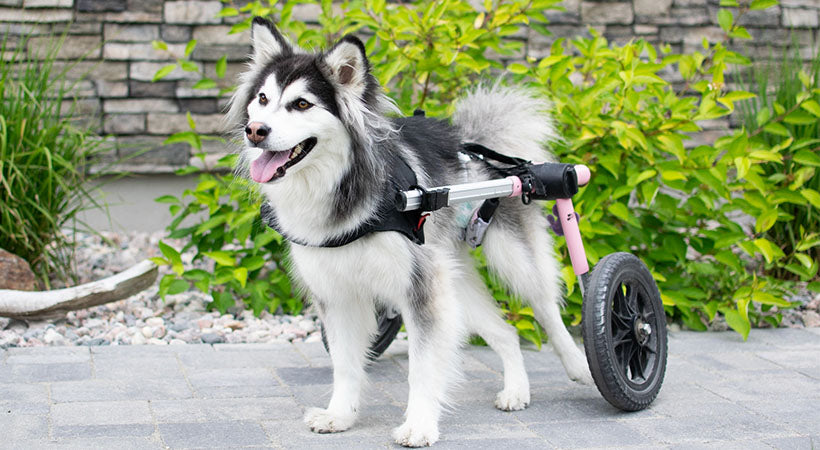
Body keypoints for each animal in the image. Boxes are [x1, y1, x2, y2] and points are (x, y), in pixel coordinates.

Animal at [227, 16, 592, 446]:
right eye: (263, 99)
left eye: (302, 104)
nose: (255, 130)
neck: (342, 187)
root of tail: (476, 147)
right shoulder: (337, 292)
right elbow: (345, 364)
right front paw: (340, 415)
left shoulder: (421, 287)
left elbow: (423, 364)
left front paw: (419, 424)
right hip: (454, 277)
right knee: (506, 332)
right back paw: (516, 389)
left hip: (511, 257)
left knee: (547, 308)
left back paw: (580, 365)